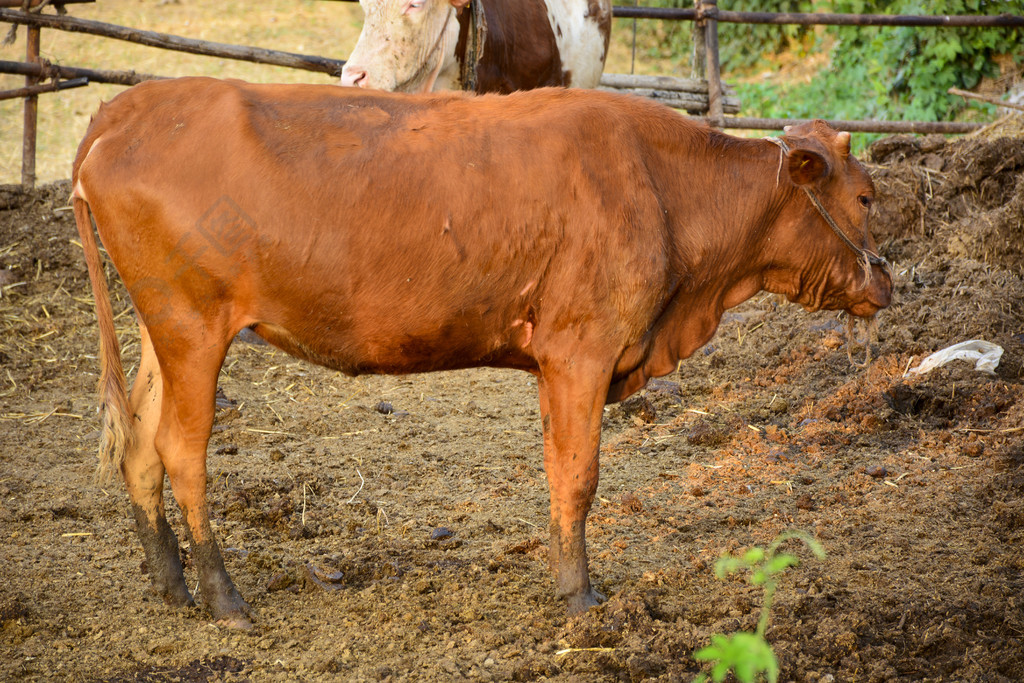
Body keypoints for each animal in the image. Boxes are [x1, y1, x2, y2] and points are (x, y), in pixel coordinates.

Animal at [72, 77, 888, 626]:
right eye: (867, 197)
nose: (889, 278)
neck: (661, 185)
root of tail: (130, 107)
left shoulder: (556, 362)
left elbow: (559, 471)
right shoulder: (582, 350)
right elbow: (579, 476)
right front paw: (580, 597)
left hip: (164, 331)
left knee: (139, 446)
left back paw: (171, 585)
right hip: (193, 326)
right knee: (180, 452)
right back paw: (223, 597)